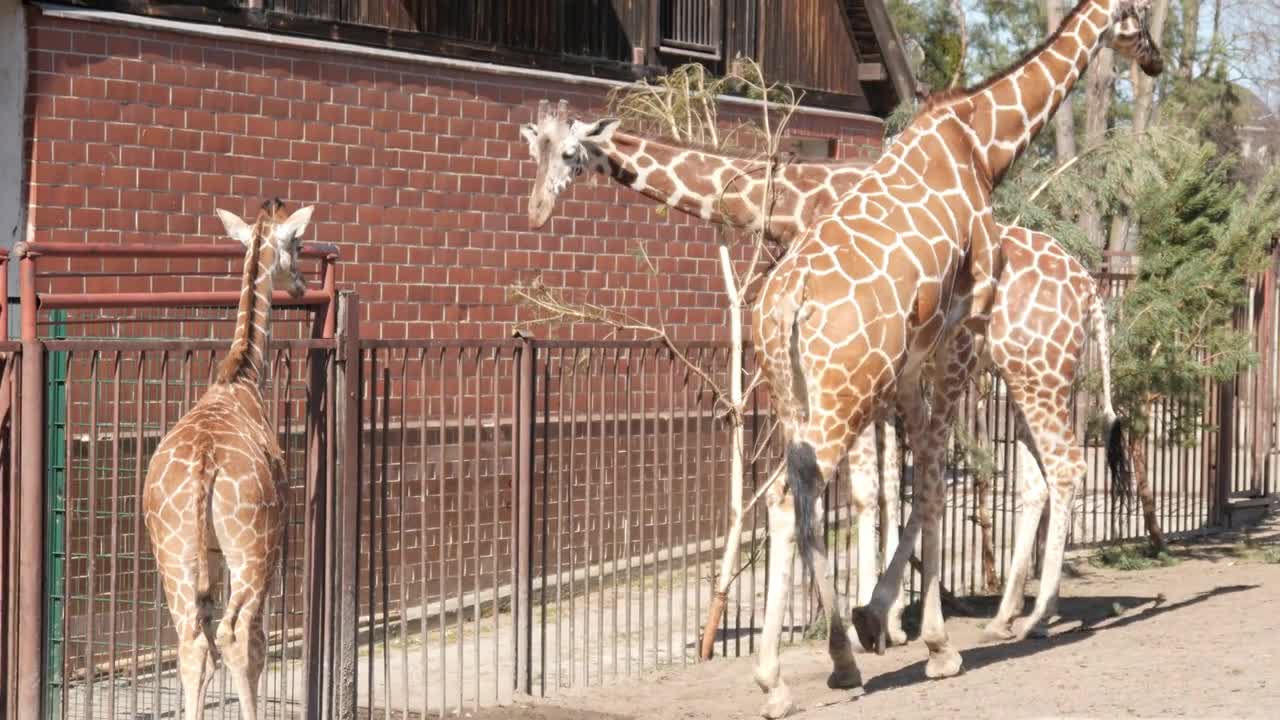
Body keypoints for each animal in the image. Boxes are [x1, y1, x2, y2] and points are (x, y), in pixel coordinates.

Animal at [142, 197, 312, 717]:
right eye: (298, 244)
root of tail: (204, 467)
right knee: (238, 637)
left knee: (192, 641)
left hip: (173, 551)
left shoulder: (210, 553)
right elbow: (254, 642)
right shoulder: (273, 540)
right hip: (251, 547)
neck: (241, 376)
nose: (302, 285)